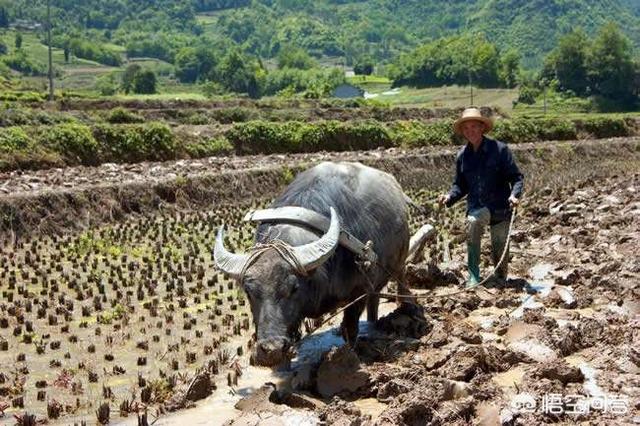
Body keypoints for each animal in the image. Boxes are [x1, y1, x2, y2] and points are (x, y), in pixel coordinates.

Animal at [212, 161, 408, 366]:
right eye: (249, 293)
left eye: (294, 288)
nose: (272, 350)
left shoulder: (360, 290)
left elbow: (349, 328)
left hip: (400, 262)